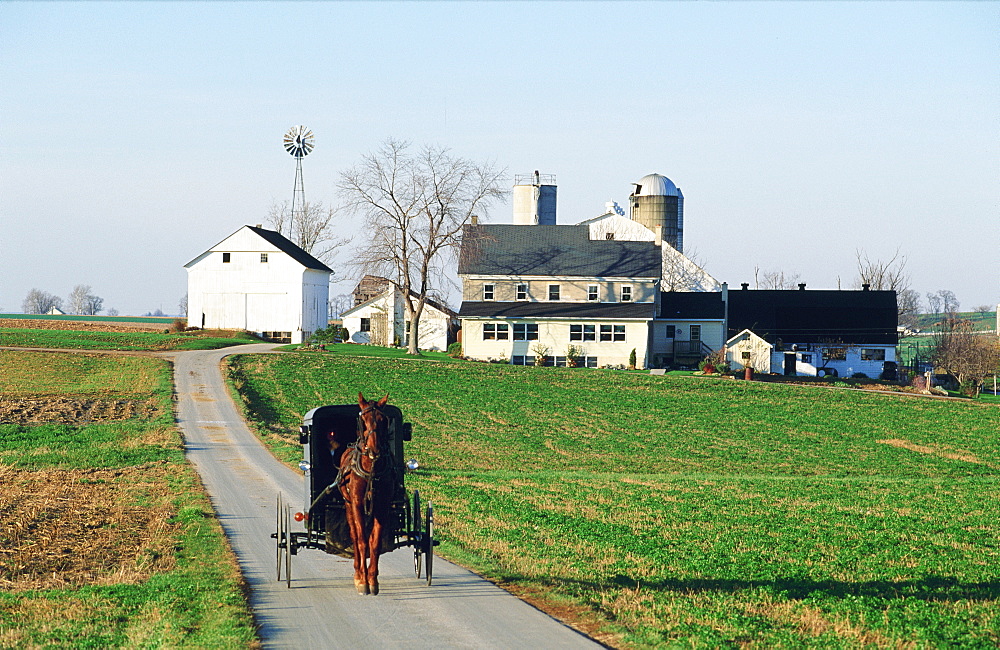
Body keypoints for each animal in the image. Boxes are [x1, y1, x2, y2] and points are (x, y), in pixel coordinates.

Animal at [340, 390, 394, 592]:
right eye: (363, 420)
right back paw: (357, 573)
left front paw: (373, 579)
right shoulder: (356, 503)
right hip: (348, 505)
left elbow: (375, 543)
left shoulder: (382, 505)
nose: (374, 450)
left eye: (383, 420)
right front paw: (363, 581)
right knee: (355, 537)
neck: (371, 469)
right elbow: (362, 540)